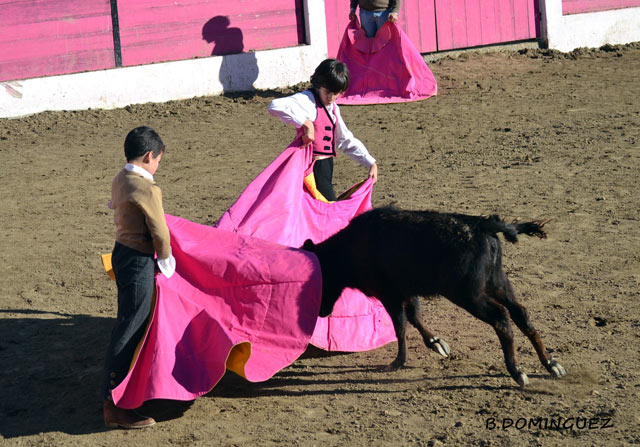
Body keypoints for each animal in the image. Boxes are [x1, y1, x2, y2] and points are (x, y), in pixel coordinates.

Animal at [302, 208, 568, 386]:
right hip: (498, 283)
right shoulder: (406, 291)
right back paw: (551, 364)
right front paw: (437, 343)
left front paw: (398, 362)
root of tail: (485, 226)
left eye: (320, 280)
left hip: (469, 295)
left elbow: (400, 325)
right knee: (520, 313)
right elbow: (414, 316)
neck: (350, 247)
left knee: (501, 318)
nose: (320, 312)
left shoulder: (390, 294)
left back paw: (516, 370)